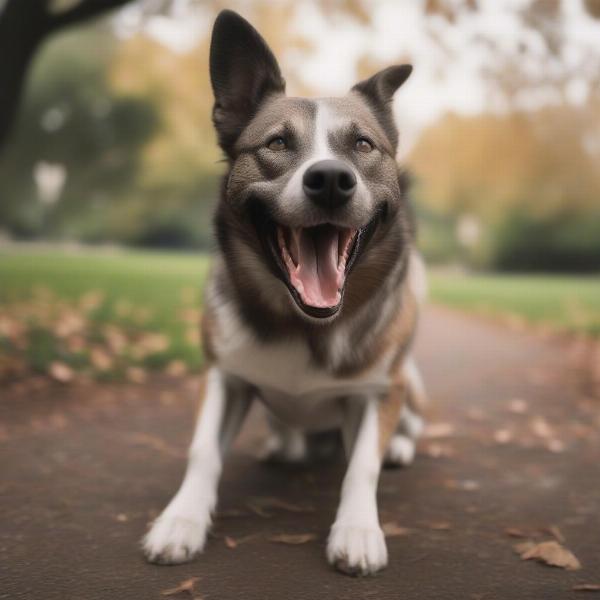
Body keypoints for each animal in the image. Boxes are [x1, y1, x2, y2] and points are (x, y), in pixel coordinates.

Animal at [142, 9, 426, 576]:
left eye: (363, 145)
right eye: (276, 144)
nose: (332, 180)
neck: (304, 324)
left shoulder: (378, 389)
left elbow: (362, 466)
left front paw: (358, 530)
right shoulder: (224, 376)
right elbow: (203, 452)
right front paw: (181, 520)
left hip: (410, 381)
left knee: (411, 425)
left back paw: (399, 447)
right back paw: (284, 443)